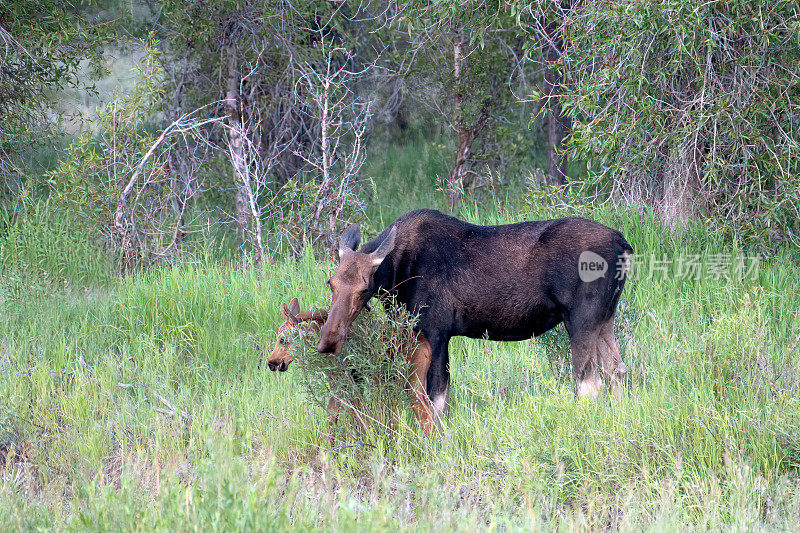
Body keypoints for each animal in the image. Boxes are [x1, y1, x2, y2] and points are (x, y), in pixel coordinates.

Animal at [268, 296, 434, 436]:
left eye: (282, 339)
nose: (271, 362)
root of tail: (427, 346)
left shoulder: (340, 381)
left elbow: (339, 415)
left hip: (411, 383)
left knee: (426, 417)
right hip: (419, 383)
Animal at [316, 208, 636, 424]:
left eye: (364, 288)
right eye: (331, 283)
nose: (328, 341)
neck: (396, 278)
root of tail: (624, 244)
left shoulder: (436, 331)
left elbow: (436, 397)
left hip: (581, 320)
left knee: (589, 383)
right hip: (605, 318)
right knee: (617, 370)